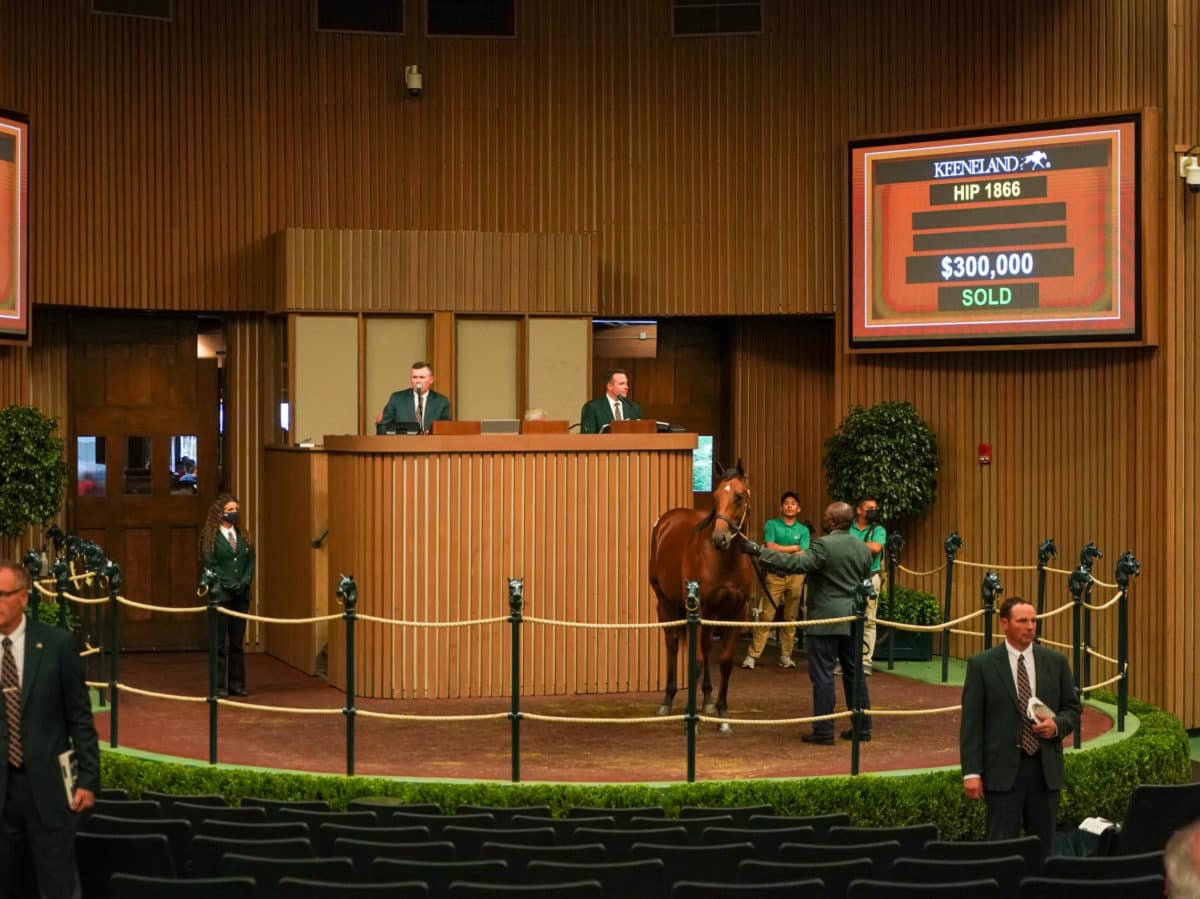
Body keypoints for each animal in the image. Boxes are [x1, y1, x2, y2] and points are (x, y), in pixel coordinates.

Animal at [652, 458, 753, 724]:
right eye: (716, 496)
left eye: (739, 496)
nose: (720, 538)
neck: (725, 560)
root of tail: (667, 520)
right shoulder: (700, 608)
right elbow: (694, 662)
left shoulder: (737, 613)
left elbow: (725, 662)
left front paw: (722, 710)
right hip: (665, 602)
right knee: (672, 643)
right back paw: (667, 699)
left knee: (707, 647)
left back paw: (707, 697)